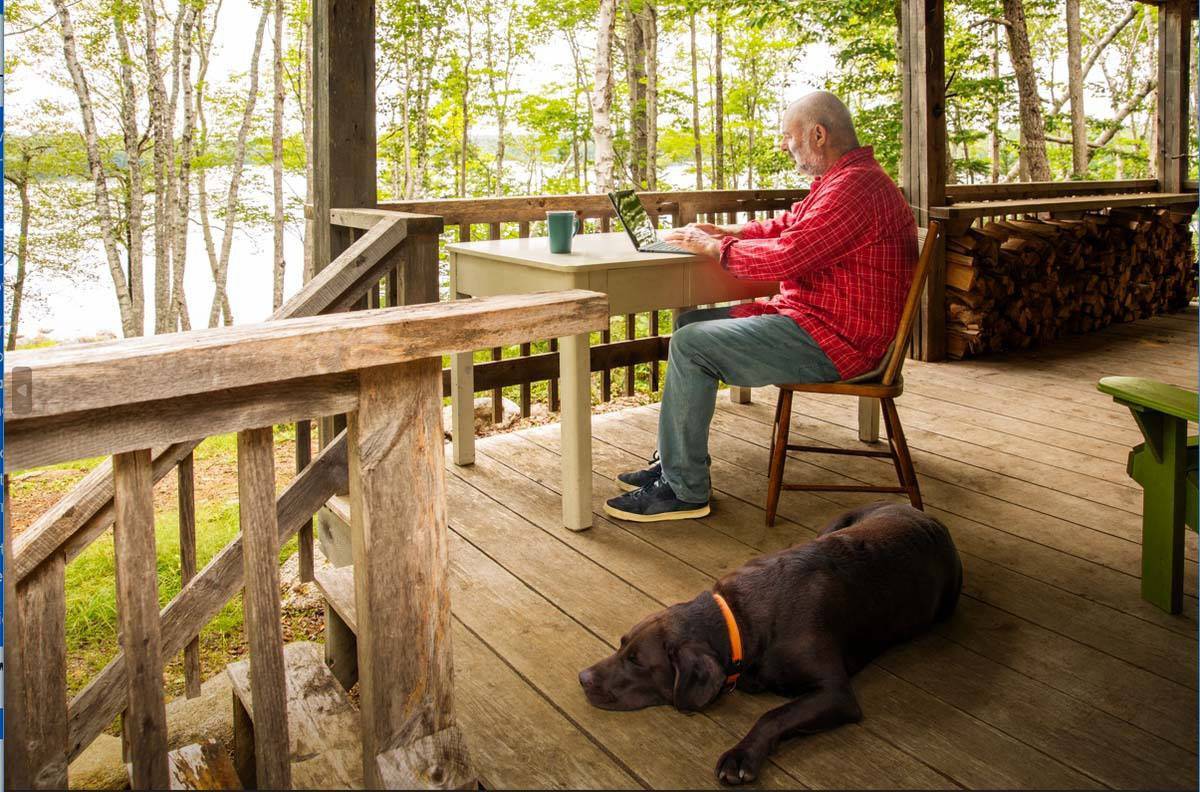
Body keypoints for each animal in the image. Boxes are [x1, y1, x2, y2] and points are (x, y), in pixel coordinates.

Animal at [576, 504, 960, 782]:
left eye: (637, 661)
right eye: (621, 644)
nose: (583, 677)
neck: (740, 619)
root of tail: (922, 512)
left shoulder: (836, 693)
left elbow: (774, 715)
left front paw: (741, 756)